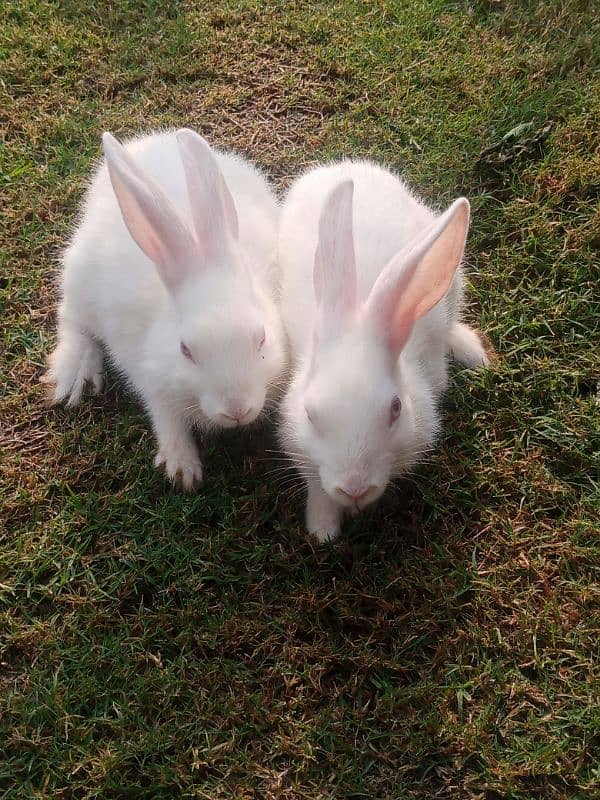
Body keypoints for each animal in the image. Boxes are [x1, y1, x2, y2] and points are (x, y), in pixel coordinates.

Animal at [44, 127, 284, 488]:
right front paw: (182, 470)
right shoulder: (150, 376)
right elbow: (165, 416)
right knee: (72, 320)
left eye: (261, 339)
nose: (237, 409)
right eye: (185, 350)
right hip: (78, 280)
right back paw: (74, 374)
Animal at [278, 160, 490, 540]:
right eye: (311, 415)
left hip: (452, 282)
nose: (355, 488)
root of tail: (348, 163)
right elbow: (317, 487)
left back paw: (472, 352)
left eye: (396, 409)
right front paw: (323, 530)